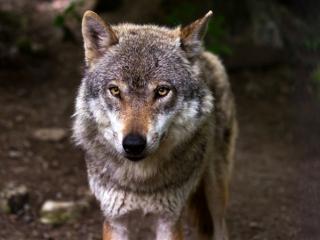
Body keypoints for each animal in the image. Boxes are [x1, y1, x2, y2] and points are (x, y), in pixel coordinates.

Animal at [73, 9, 238, 240]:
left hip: (216, 191)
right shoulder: (115, 220)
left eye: (162, 91)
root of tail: (204, 54)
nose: (133, 144)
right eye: (115, 90)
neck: (140, 182)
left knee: (221, 226)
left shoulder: (169, 220)